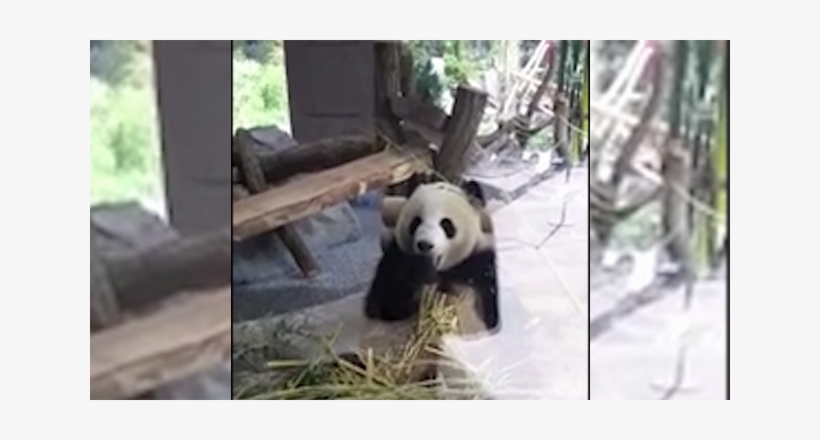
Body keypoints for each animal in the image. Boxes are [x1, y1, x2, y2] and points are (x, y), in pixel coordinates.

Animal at [364, 173, 500, 333]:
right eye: (416, 222)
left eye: (446, 224)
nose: (424, 245)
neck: (443, 271)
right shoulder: (395, 256)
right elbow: (386, 303)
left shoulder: (481, 260)